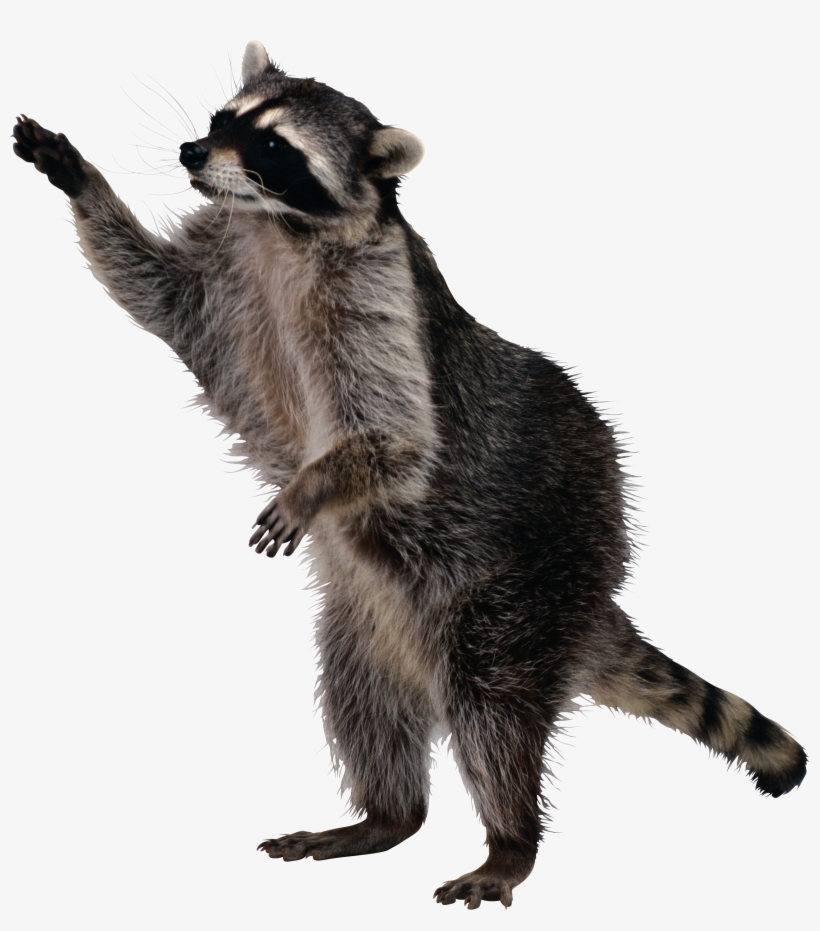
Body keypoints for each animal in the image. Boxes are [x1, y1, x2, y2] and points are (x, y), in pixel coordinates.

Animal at [12, 40, 807, 909]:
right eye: (225, 119)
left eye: (272, 148)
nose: (191, 151)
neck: (276, 228)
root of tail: (592, 600)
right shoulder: (221, 272)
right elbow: (147, 287)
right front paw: (80, 178)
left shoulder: (377, 298)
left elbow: (398, 435)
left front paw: (314, 484)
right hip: (370, 615)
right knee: (364, 696)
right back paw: (386, 815)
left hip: (524, 580)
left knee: (494, 706)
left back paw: (511, 839)